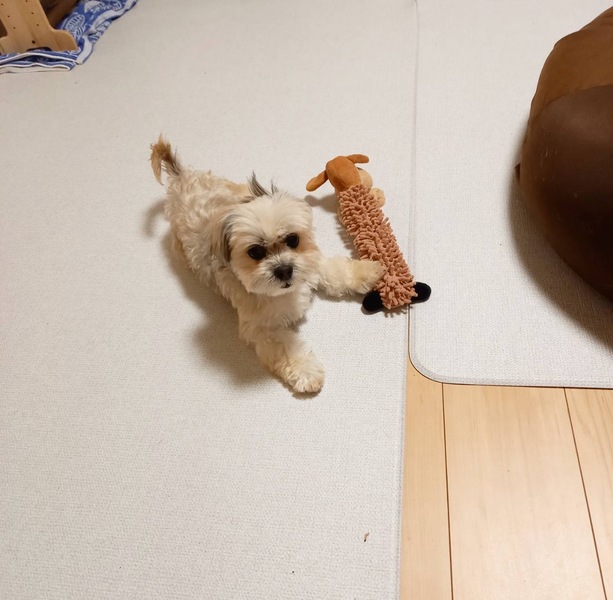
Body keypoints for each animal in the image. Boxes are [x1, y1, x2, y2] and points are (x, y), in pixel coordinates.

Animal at [150, 138, 384, 393]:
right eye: (255, 252)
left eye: (293, 239)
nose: (284, 270)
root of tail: (181, 177)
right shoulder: (262, 329)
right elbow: (287, 349)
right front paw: (306, 372)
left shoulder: (312, 264)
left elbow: (337, 270)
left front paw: (370, 271)